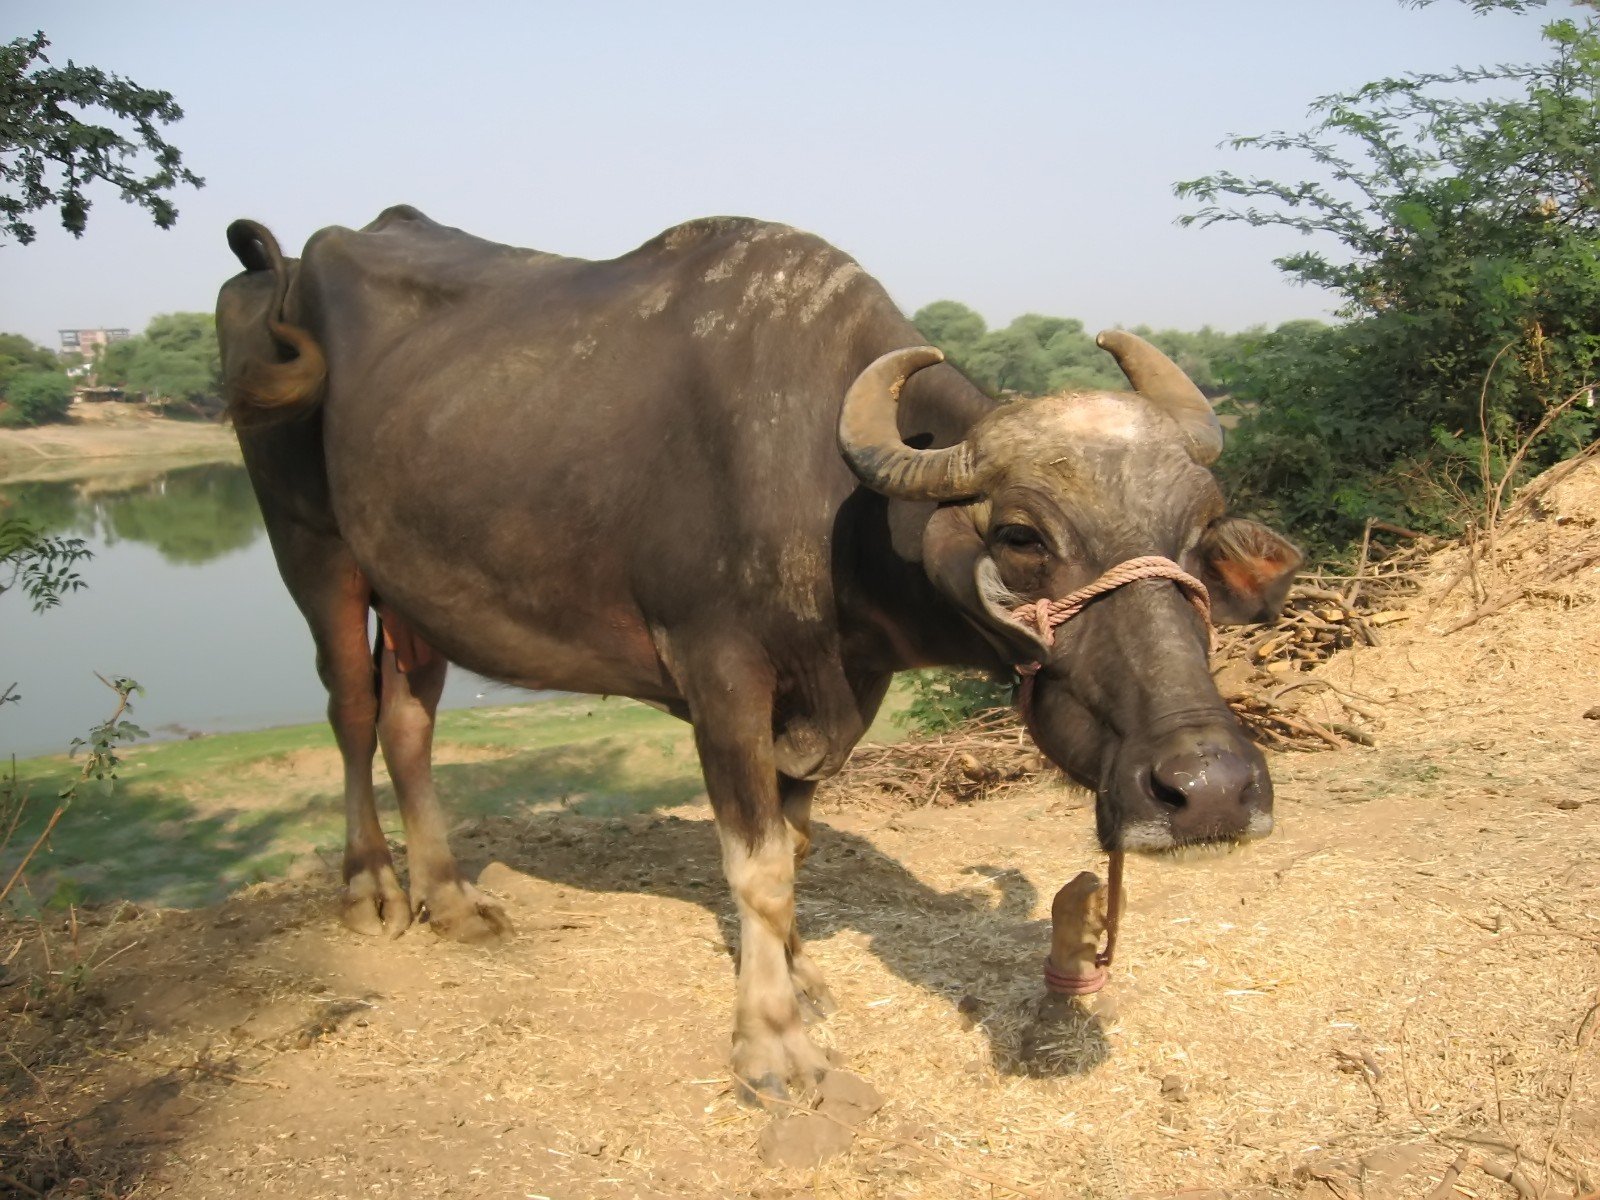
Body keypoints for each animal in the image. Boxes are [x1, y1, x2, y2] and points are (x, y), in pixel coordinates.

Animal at [219, 204, 1299, 1100]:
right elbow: (757, 865)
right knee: (353, 707)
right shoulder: (720, 678)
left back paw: (450, 899)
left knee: (409, 719)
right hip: (311, 546)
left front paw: (798, 976)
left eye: (1197, 531)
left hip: (421, 594)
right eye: (1023, 535)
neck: (826, 497)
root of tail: (287, 269)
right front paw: (773, 1044)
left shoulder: (838, 694)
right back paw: (371, 888)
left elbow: (797, 849)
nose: (1207, 789)